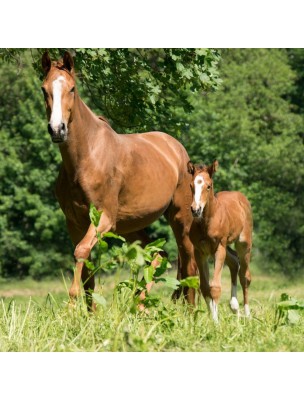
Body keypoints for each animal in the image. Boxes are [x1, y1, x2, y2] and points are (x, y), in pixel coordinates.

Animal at [189, 159, 253, 322]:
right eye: (191, 185)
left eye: (208, 186)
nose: (195, 210)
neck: (207, 222)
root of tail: (241, 197)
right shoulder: (200, 251)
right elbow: (205, 287)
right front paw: (212, 319)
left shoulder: (219, 247)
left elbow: (216, 287)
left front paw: (216, 323)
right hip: (224, 248)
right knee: (234, 262)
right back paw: (235, 307)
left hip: (243, 244)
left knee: (245, 276)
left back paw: (247, 314)